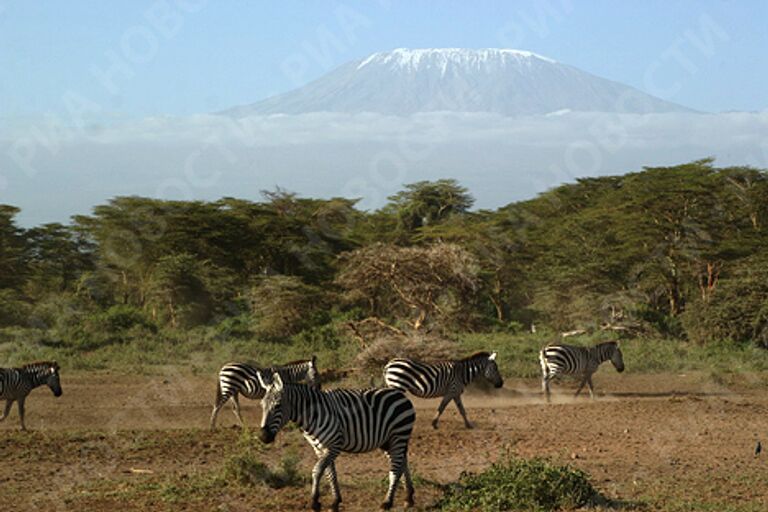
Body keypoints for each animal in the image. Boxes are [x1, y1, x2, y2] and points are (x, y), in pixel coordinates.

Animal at [256, 372, 414, 512]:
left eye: (277, 406)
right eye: (262, 405)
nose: (263, 436)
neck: (312, 414)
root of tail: (399, 394)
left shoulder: (333, 445)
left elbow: (317, 471)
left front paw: (314, 503)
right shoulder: (319, 448)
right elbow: (330, 474)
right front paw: (335, 502)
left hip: (398, 435)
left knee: (395, 469)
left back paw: (387, 503)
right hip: (387, 441)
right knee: (402, 463)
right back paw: (408, 498)